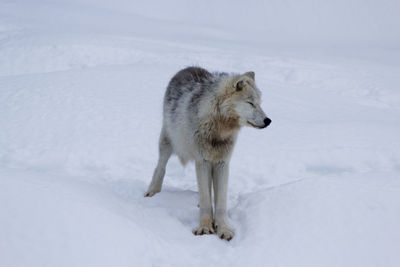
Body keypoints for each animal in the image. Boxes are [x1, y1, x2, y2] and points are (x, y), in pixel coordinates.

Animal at [144, 66, 272, 241]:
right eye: (250, 103)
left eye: (259, 104)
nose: (268, 120)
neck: (219, 130)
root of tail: (188, 68)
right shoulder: (203, 161)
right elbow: (206, 200)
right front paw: (205, 227)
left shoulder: (222, 163)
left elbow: (220, 201)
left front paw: (223, 228)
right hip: (168, 142)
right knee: (160, 167)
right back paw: (152, 191)